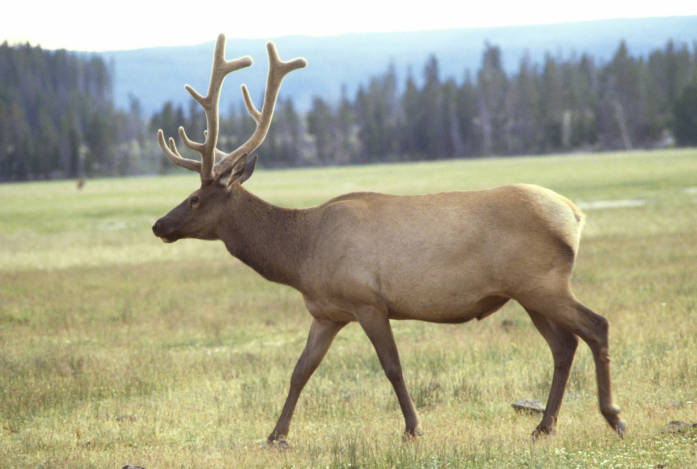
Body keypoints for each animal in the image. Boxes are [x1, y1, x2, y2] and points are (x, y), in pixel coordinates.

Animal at [151, 34, 624, 444]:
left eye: (194, 199)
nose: (159, 225)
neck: (301, 257)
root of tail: (574, 214)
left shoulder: (368, 301)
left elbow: (392, 367)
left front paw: (414, 428)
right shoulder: (327, 312)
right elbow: (301, 370)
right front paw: (276, 435)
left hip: (543, 282)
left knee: (595, 325)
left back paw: (612, 416)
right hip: (528, 292)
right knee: (563, 345)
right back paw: (544, 426)